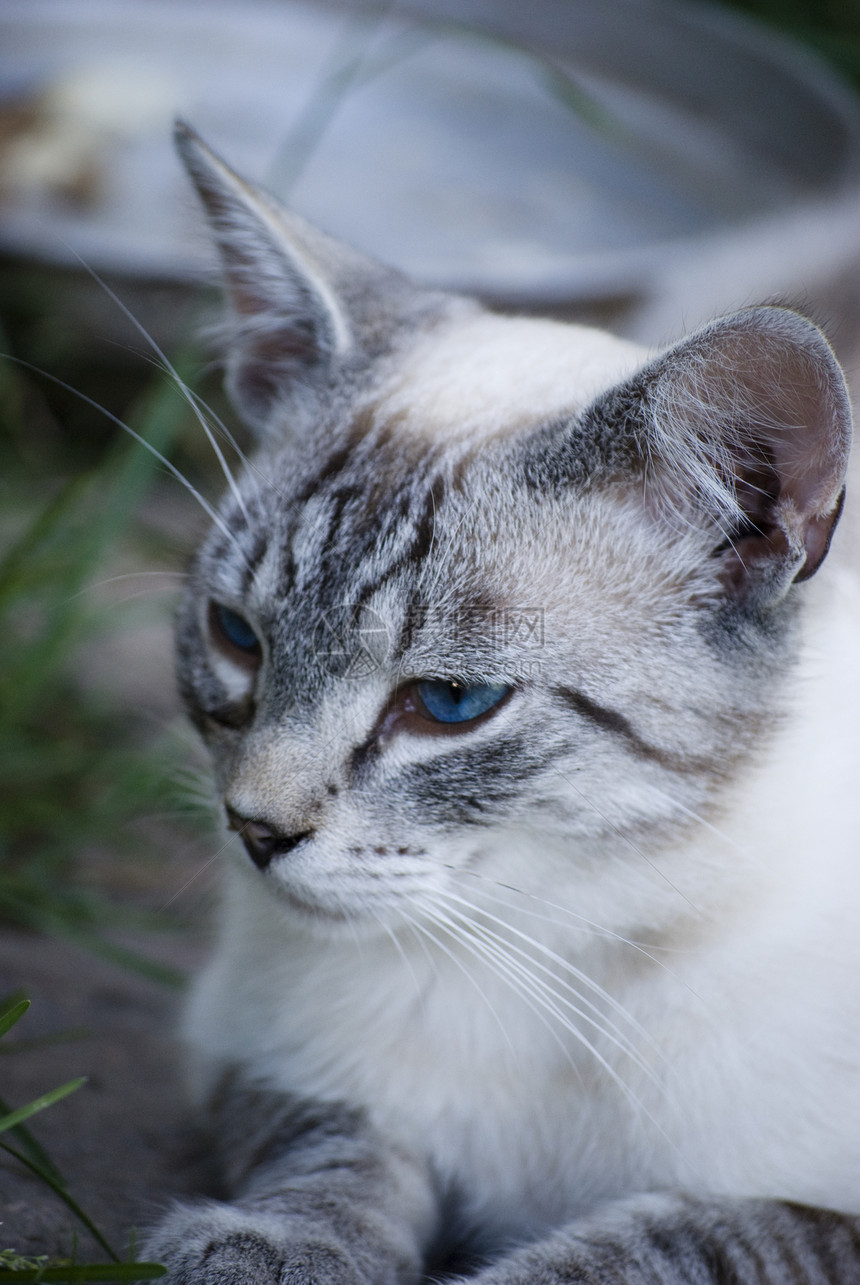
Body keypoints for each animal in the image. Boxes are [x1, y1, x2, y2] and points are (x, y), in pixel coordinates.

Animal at [145, 122, 858, 1285]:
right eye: (237, 637)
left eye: (451, 701)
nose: (253, 830)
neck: (546, 930)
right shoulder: (260, 1058)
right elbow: (342, 1157)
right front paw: (271, 1250)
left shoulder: (815, 1216)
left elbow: (664, 1237)